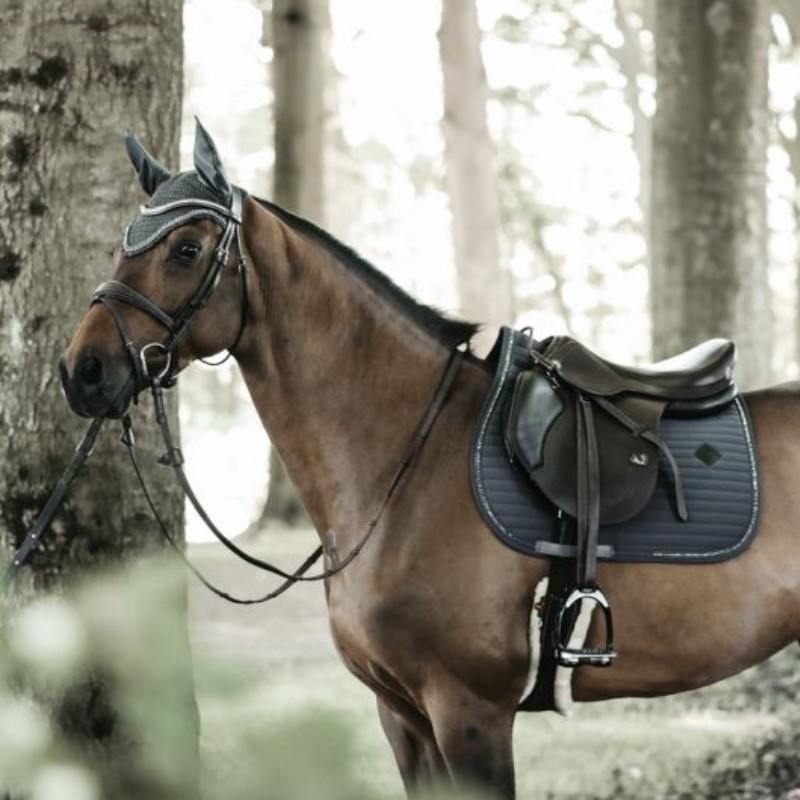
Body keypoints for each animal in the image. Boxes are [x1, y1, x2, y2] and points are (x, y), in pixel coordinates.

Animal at [59, 121, 800, 799]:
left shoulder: (469, 712)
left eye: (186, 249)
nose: (81, 372)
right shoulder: (403, 715)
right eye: (122, 245)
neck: (408, 462)